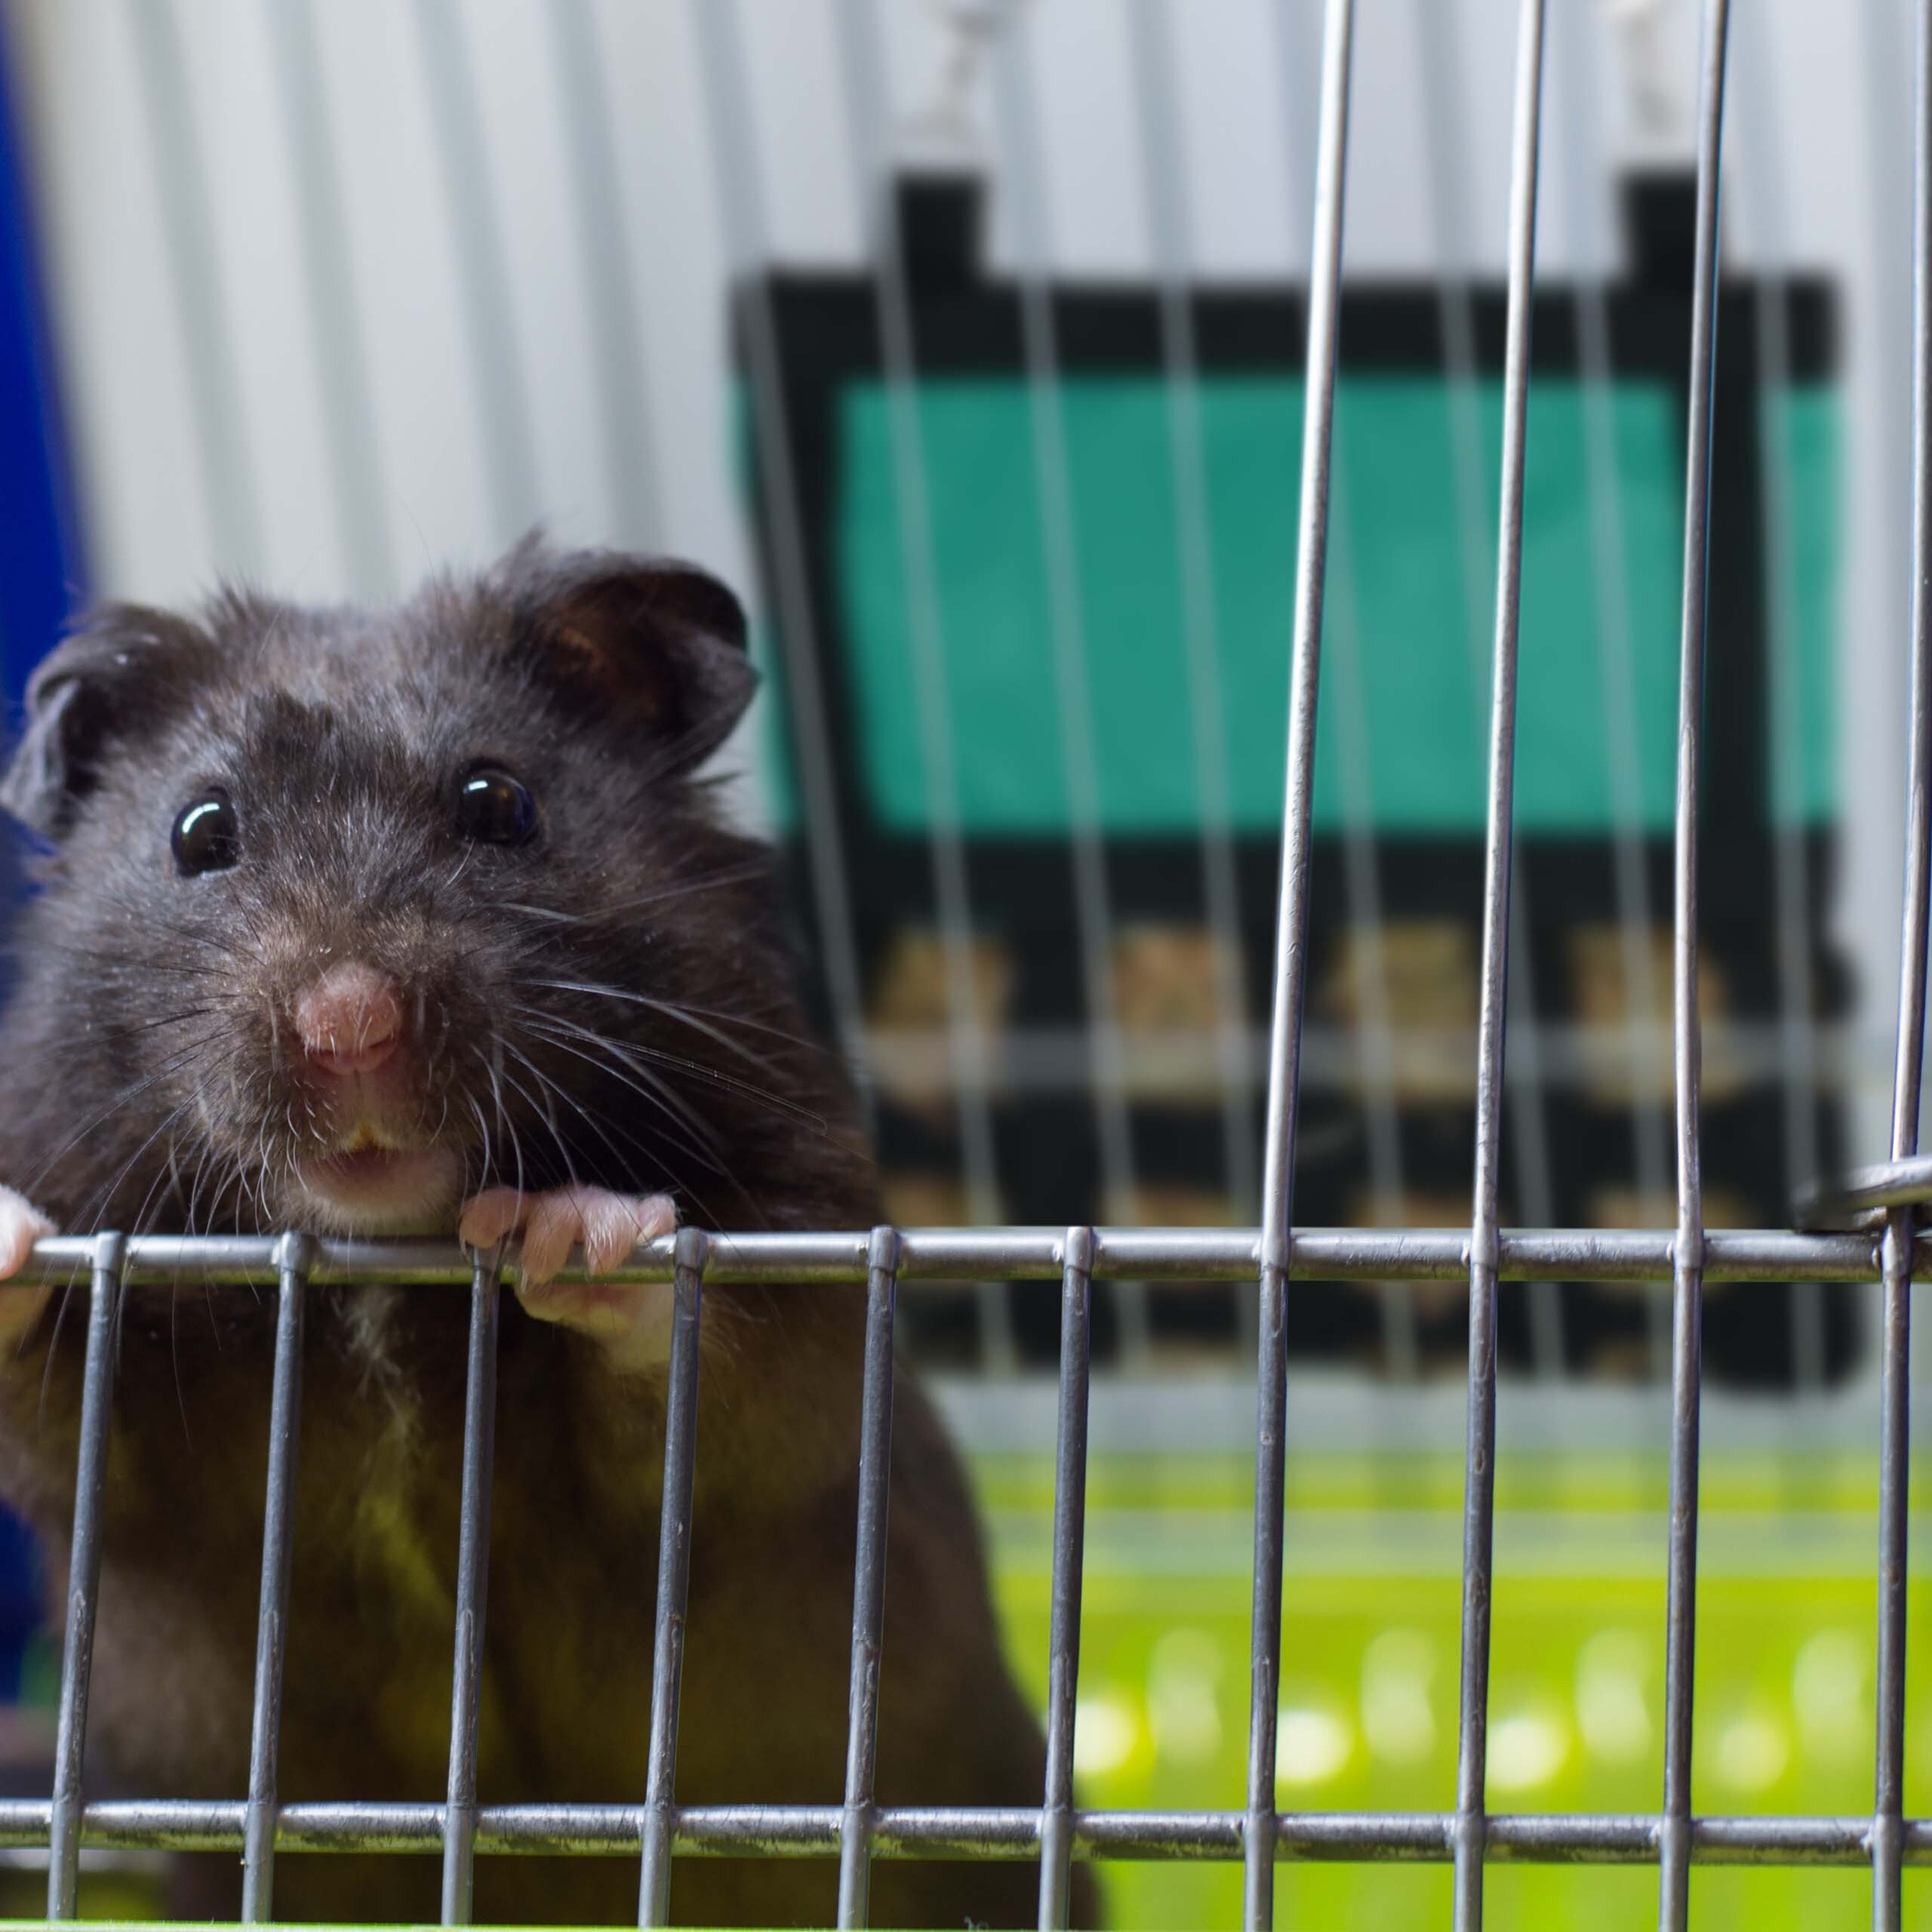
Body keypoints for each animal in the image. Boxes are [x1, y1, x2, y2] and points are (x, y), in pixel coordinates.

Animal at [0, 541, 1098, 1929]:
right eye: (201, 832)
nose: (349, 1025)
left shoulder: (811, 1283)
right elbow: (59, 1418)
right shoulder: (136, 1451)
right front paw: (2, 1234)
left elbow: (727, 1376)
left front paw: (572, 1231)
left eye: (500, 802)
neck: (384, 1267)